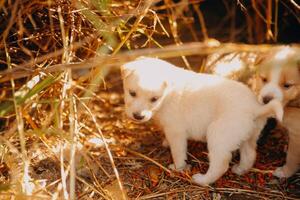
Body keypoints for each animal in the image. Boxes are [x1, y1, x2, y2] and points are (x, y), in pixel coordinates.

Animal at [120, 57, 282, 185]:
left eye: (154, 99)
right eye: (132, 93)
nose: (138, 116)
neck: (167, 95)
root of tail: (255, 108)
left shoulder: (176, 131)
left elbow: (178, 152)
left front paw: (178, 168)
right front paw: (166, 143)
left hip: (218, 135)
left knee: (221, 164)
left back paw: (202, 180)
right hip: (249, 136)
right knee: (250, 155)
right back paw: (240, 169)